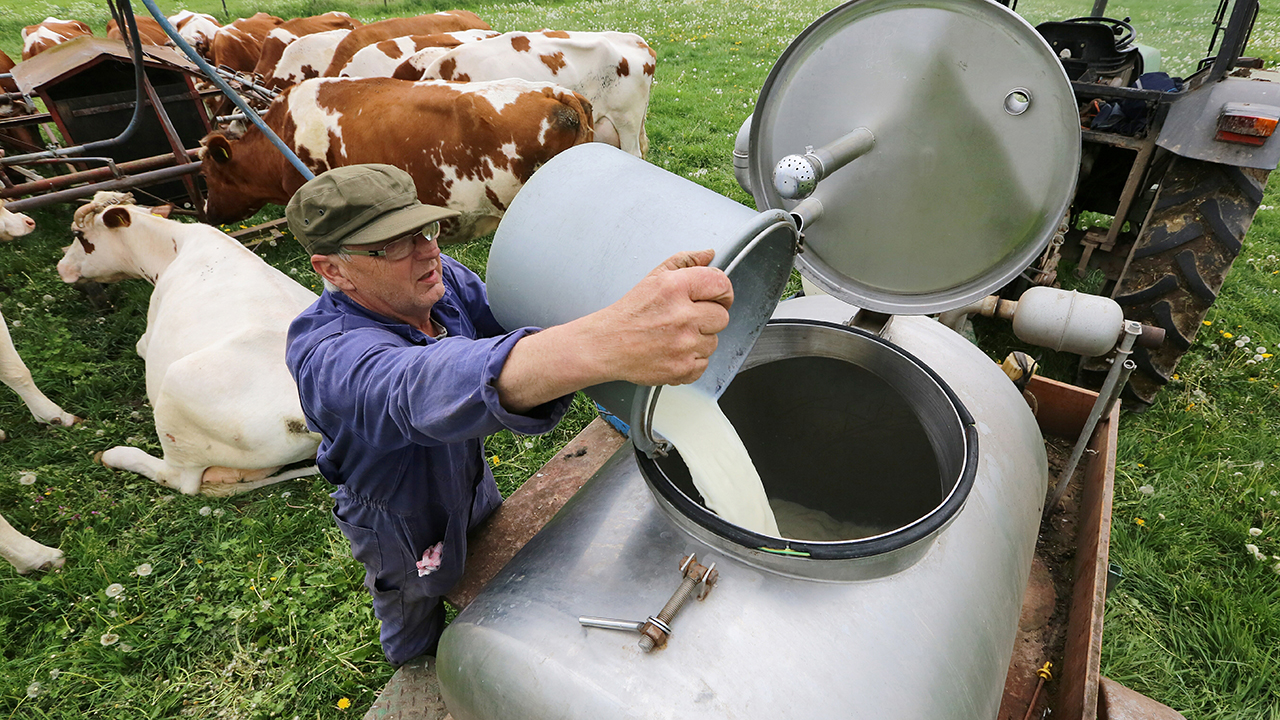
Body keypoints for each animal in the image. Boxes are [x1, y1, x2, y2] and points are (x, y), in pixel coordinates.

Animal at [56, 190, 320, 497]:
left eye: (78, 233)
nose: (61, 266)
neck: (170, 247)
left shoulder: (149, 333)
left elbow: (140, 345)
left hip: (175, 400)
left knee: (179, 479)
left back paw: (117, 455)